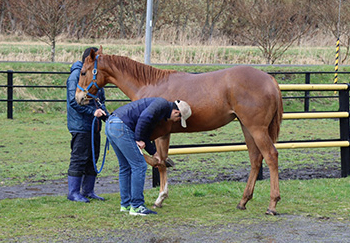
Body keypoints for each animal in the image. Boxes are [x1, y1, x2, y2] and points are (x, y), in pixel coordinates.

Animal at [75, 47, 284, 215]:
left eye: (83, 72)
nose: (78, 98)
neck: (149, 84)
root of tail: (269, 79)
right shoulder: (163, 134)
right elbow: (159, 159)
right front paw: (162, 193)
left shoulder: (157, 133)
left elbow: (158, 161)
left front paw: (160, 196)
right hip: (246, 127)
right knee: (256, 159)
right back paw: (243, 201)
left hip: (257, 129)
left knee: (271, 156)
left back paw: (272, 205)